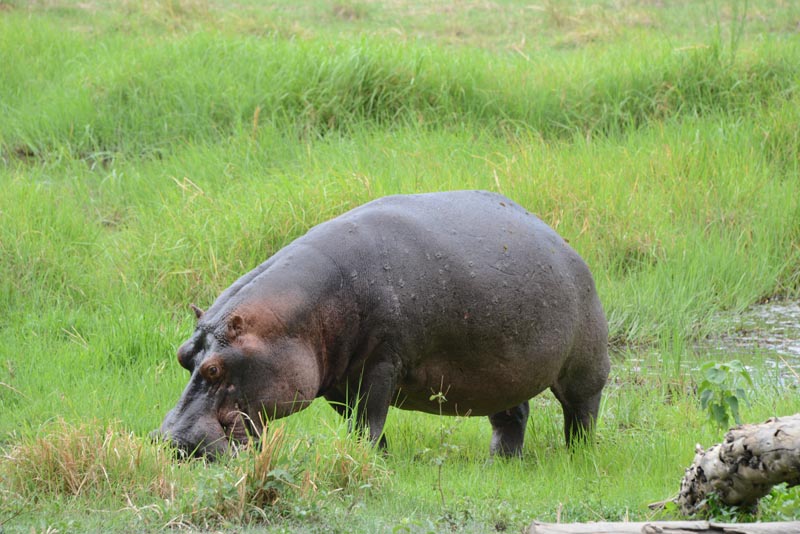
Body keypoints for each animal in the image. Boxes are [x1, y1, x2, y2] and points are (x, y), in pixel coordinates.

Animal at [157, 190, 609, 458]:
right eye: (182, 356)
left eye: (215, 369)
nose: (168, 441)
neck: (298, 319)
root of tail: (560, 240)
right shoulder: (337, 381)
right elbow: (359, 423)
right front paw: (380, 457)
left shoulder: (379, 365)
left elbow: (369, 419)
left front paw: (371, 458)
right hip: (503, 371)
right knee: (511, 415)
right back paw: (499, 462)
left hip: (583, 365)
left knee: (581, 412)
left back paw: (578, 455)